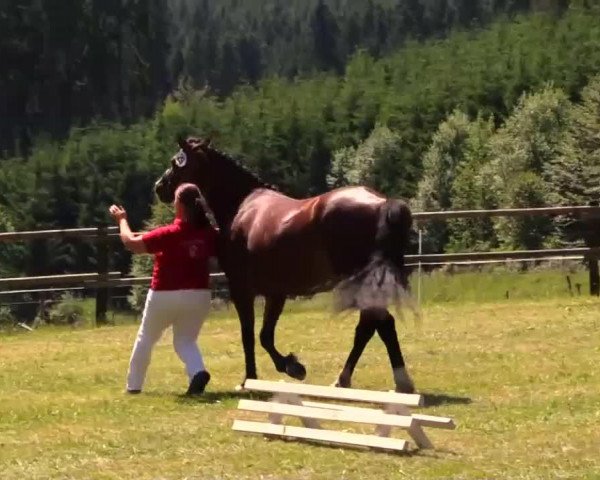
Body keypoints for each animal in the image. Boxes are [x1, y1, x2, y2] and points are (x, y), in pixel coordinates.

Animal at [155, 137, 418, 392]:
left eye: (175, 162)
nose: (159, 187)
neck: (242, 207)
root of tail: (382, 203)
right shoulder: (276, 293)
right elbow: (265, 335)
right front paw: (292, 366)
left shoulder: (242, 290)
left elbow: (249, 335)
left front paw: (252, 379)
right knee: (373, 326)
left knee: (377, 325)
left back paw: (385, 382)